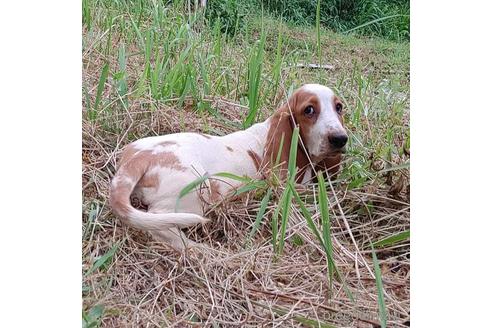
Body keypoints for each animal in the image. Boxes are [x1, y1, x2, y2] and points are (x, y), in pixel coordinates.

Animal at [109, 83, 348, 250]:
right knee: (161, 222)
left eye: (339, 108)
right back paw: (197, 249)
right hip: (198, 192)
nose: (340, 139)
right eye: (309, 110)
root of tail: (136, 158)